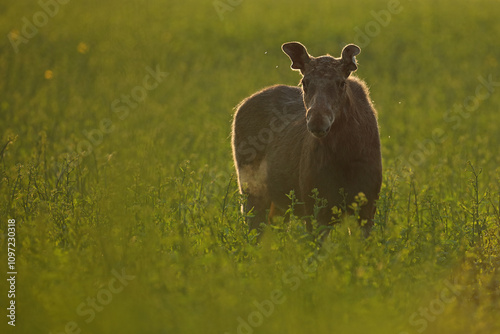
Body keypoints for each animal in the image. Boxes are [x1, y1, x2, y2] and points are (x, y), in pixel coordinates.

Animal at [231, 41, 382, 237]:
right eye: (304, 82)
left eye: (341, 82)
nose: (317, 121)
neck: (345, 153)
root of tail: (241, 106)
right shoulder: (314, 205)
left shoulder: (367, 206)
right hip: (251, 191)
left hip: (279, 205)